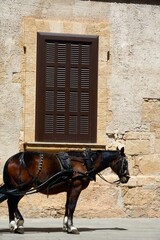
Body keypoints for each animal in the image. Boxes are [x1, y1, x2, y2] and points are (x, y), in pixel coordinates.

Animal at [0, 147, 130, 233]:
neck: (86, 162)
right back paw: (14, 224)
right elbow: (72, 206)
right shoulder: (76, 187)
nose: (127, 177)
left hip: (18, 188)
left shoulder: (69, 189)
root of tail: (11, 159)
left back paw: (18, 223)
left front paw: (66, 225)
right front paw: (72, 227)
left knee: (13, 203)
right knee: (11, 202)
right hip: (21, 187)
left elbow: (67, 206)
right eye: (125, 162)